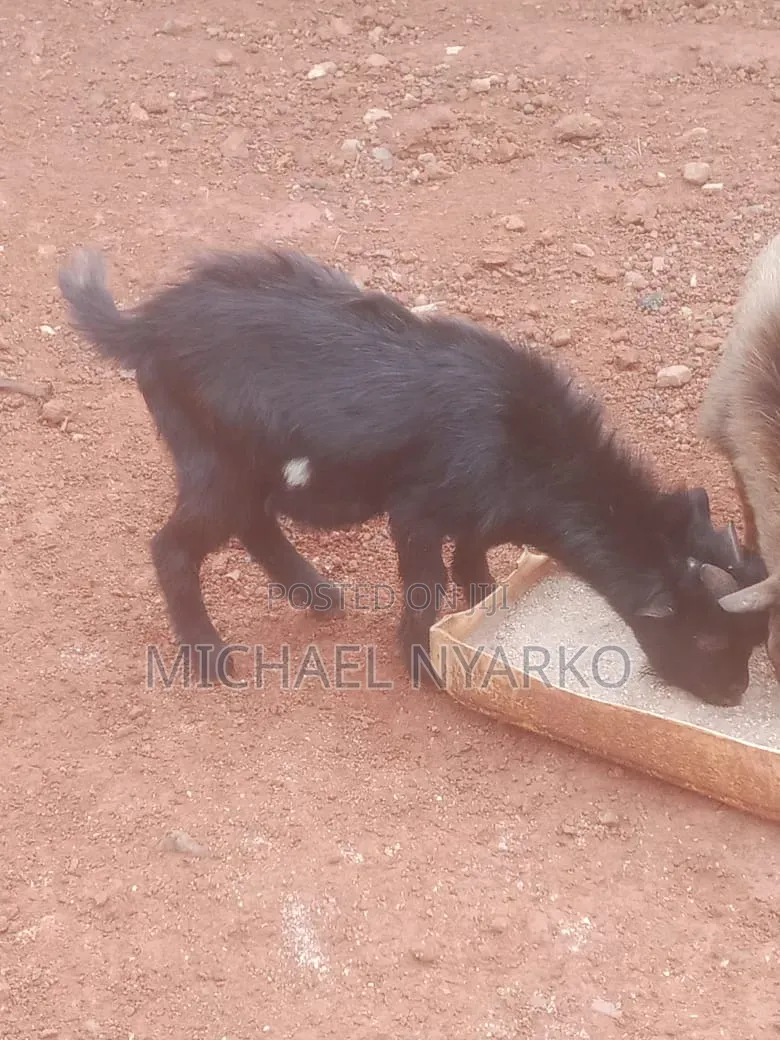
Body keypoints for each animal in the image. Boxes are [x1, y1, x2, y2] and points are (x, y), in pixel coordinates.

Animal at [57, 245, 768, 706]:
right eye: (706, 637)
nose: (733, 696)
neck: (523, 439)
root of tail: (145, 326)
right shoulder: (418, 511)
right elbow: (425, 585)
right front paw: (422, 663)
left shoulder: (480, 506)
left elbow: (474, 549)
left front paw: (482, 594)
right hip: (216, 460)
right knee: (176, 545)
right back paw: (208, 654)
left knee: (255, 523)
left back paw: (316, 595)